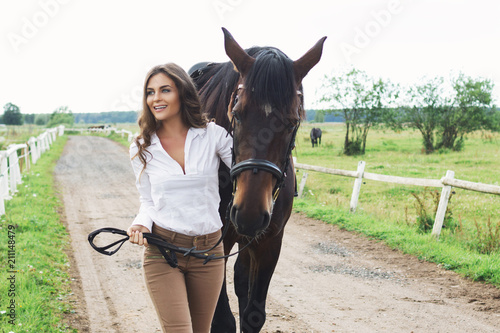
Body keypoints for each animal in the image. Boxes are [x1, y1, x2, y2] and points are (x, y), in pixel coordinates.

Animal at [189, 28, 326, 332]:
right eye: (236, 114)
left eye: (292, 122)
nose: (249, 212)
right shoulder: (213, 245)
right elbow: (222, 320)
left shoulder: (270, 241)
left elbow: (254, 314)